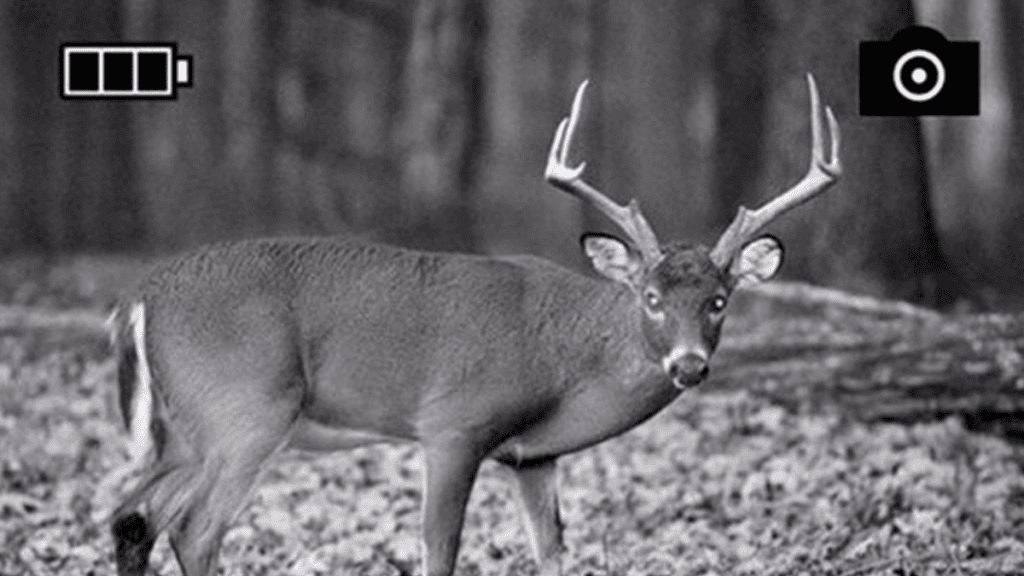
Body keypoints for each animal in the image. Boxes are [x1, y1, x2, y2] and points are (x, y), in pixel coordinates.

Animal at [108, 72, 835, 573]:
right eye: (651, 297)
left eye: (719, 300)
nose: (689, 365)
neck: (562, 360)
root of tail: (139, 298)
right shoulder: (453, 424)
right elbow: (440, 548)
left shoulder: (532, 457)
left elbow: (551, 550)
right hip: (246, 410)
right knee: (194, 528)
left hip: (186, 429)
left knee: (131, 517)